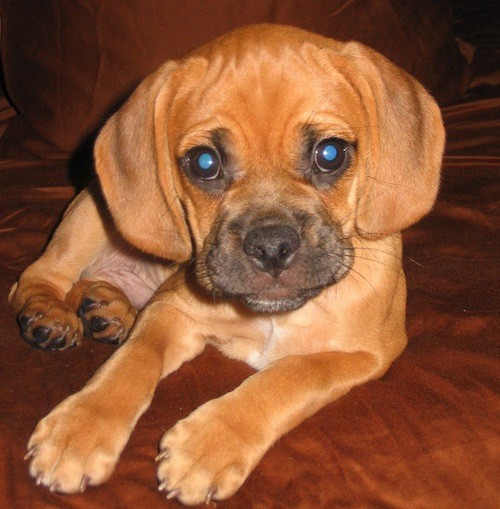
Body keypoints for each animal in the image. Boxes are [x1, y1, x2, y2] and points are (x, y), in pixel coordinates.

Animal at [8, 24, 446, 504]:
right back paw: (50, 315)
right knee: (39, 277)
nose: (271, 246)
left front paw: (208, 445)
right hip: (92, 212)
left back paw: (108, 309)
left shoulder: (366, 352)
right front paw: (81, 426)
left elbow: (290, 375)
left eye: (330, 154)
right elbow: (130, 363)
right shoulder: (170, 310)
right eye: (205, 163)